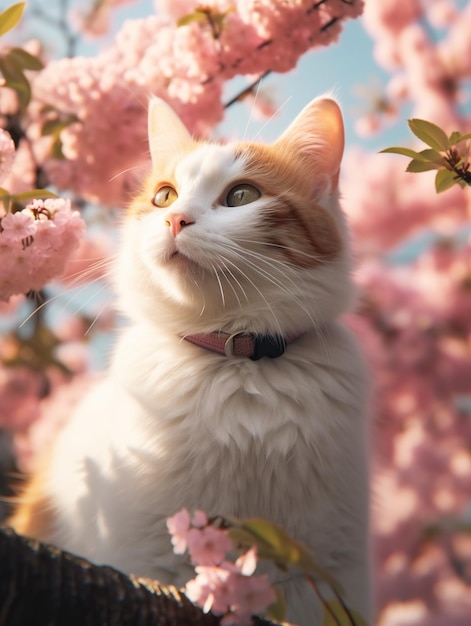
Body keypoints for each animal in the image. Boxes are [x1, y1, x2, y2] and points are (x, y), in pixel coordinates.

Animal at [8, 94, 372, 624]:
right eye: (164, 196)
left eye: (241, 196)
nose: (175, 219)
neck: (234, 358)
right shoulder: (147, 555)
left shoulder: (323, 572)